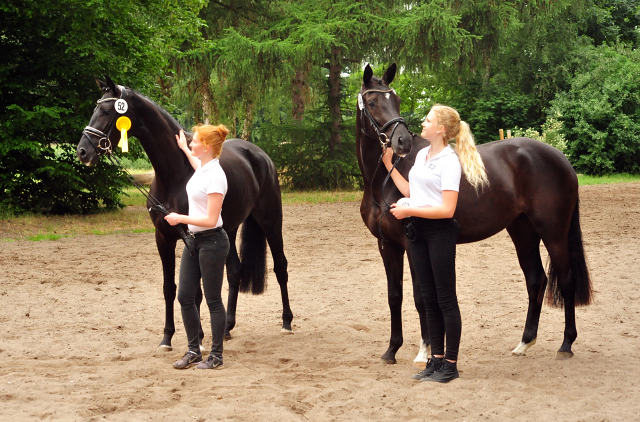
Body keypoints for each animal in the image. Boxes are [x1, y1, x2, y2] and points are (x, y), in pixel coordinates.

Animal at [76, 77, 294, 352]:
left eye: (106, 111)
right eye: (96, 108)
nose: (82, 152)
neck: (175, 174)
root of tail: (260, 155)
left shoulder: (192, 238)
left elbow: (196, 292)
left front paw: (198, 338)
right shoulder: (163, 238)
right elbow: (170, 288)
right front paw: (167, 338)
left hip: (270, 220)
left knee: (281, 267)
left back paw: (286, 322)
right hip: (229, 228)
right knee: (234, 271)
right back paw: (227, 327)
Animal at [356, 64, 592, 364]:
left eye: (395, 101)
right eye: (373, 103)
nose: (402, 142)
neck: (384, 180)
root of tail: (561, 159)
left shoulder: (412, 242)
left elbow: (420, 296)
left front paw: (425, 350)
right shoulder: (387, 245)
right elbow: (394, 295)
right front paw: (391, 350)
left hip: (554, 232)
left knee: (566, 279)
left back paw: (566, 344)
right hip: (523, 230)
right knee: (536, 279)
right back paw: (524, 343)